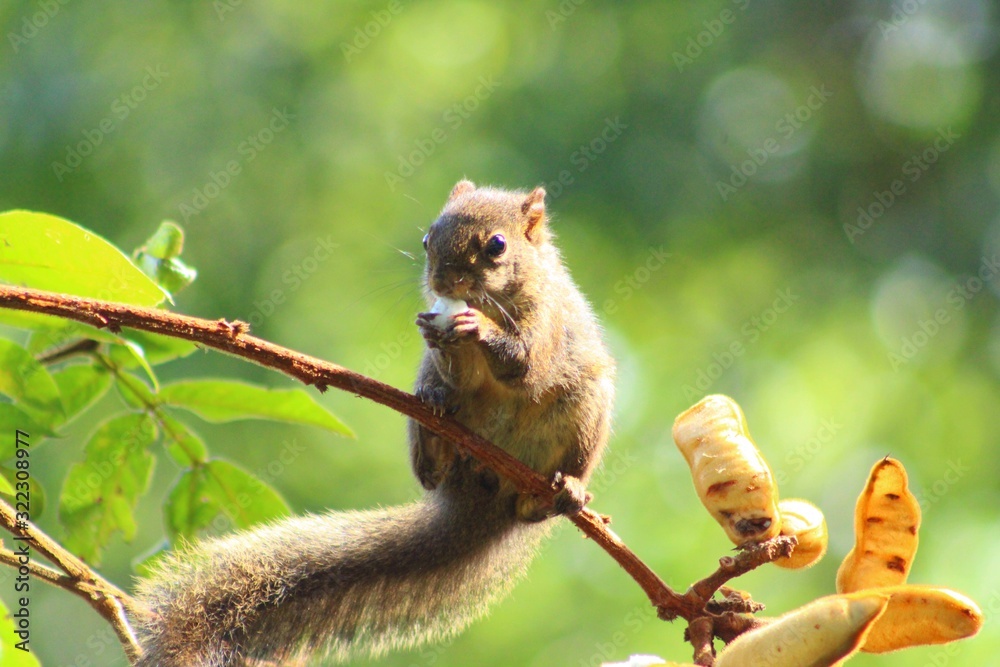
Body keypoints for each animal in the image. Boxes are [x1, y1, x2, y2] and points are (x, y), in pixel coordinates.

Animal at [132, 180, 616, 666]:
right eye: (427, 240)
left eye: (497, 246)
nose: (443, 282)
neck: (496, 299)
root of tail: (481, 499)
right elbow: (462, 376)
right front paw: (439, 335)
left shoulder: (548, 322)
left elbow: (525, 366)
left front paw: (474, 326)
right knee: (431, 467)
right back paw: (436, 429)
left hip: (585, 412)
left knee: (551, 489)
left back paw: (566, 491)